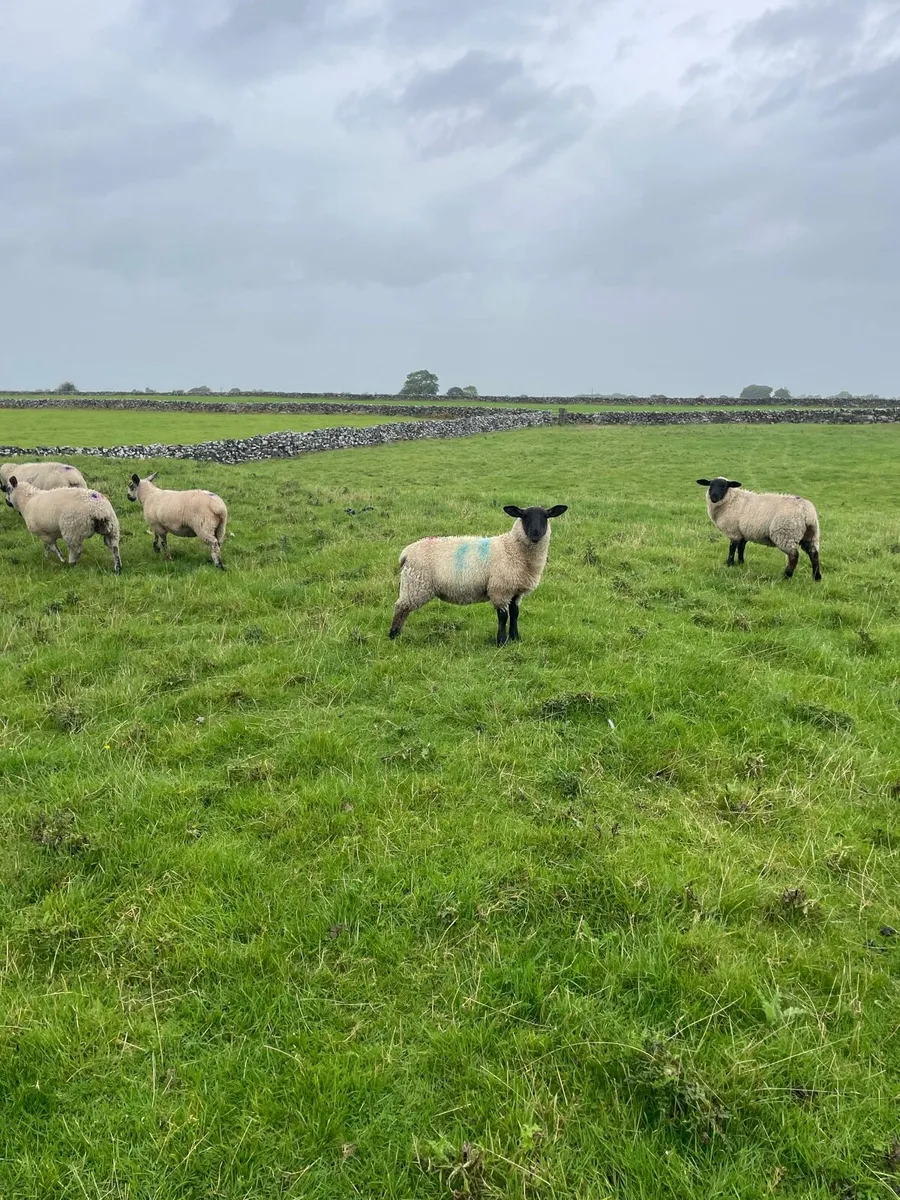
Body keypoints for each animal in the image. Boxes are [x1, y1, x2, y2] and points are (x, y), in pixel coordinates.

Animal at [389, 504, 568, 645]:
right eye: (524, 516)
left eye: (545, 516)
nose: (536, 533)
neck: (512, 548)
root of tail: (405, 553)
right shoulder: (500, 589)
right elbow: (503, 616)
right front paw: (501, 641)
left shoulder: (516, 591)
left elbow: (515, 614)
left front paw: (515, 638)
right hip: (415, 585)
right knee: (401, 608)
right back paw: (393, 635)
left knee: (403, 609)